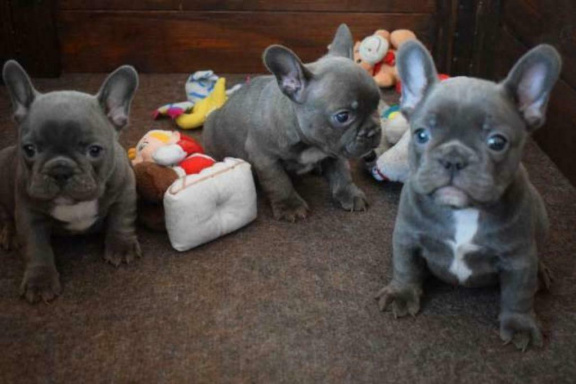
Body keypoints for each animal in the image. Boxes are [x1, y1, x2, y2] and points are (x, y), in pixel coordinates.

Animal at [0, 60, 142, 304]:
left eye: (94, 150)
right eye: (29, 149)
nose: (60, 169)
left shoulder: (124, 191)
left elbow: (121, 219)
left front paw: (122, 247)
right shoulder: (29, 214)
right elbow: (36, 248)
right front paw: (40, 281)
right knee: (7, 214)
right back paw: (10, 234)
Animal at [202, 24, 382, 220]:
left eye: (377, 104)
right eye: (343, 116)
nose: (373, 131)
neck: (311, 144)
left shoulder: (335, 150)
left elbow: (342, 171)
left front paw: (349, 193)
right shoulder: (264, 157)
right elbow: (278, 181)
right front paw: (290, 205)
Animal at [376, 41, 560, 352]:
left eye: (497, 142)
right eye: (421, 135)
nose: (453, 158)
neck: (462, 211)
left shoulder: (519, 258)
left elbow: (519, 294)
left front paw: (520, 324)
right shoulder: (407, 236)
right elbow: (406, 266)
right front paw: (401, 293)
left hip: (542, 218)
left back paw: (541, 274)